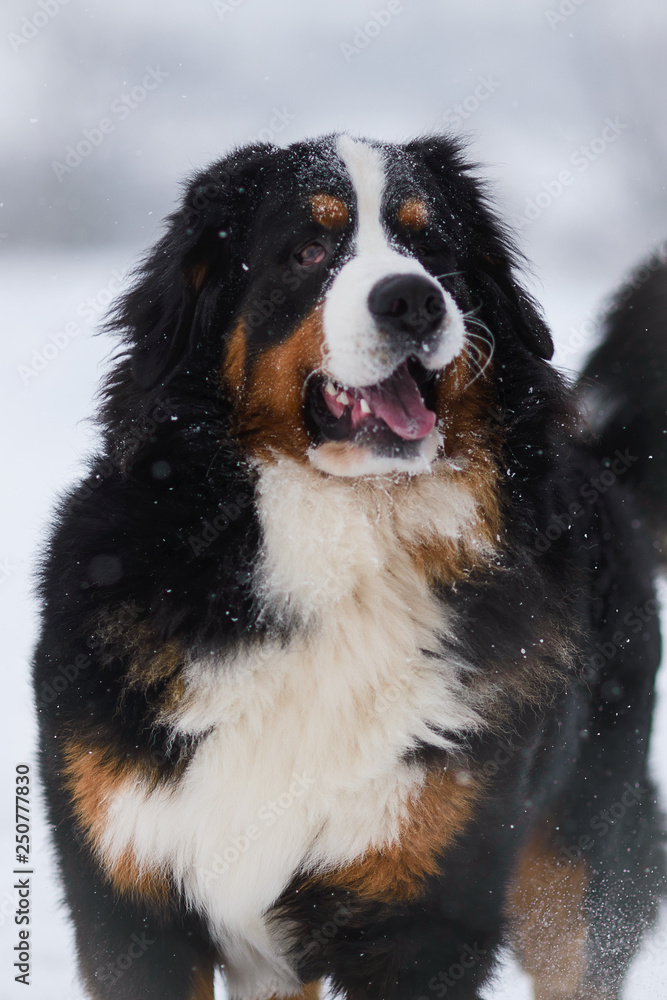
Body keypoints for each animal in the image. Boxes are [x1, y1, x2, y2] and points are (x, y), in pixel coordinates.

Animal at [32, 135, 667, 1000]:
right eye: (308, 249)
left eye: (430, 247)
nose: (413, 301)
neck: (344, 546)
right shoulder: (131, 903)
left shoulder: (424, 912)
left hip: (573, 880)